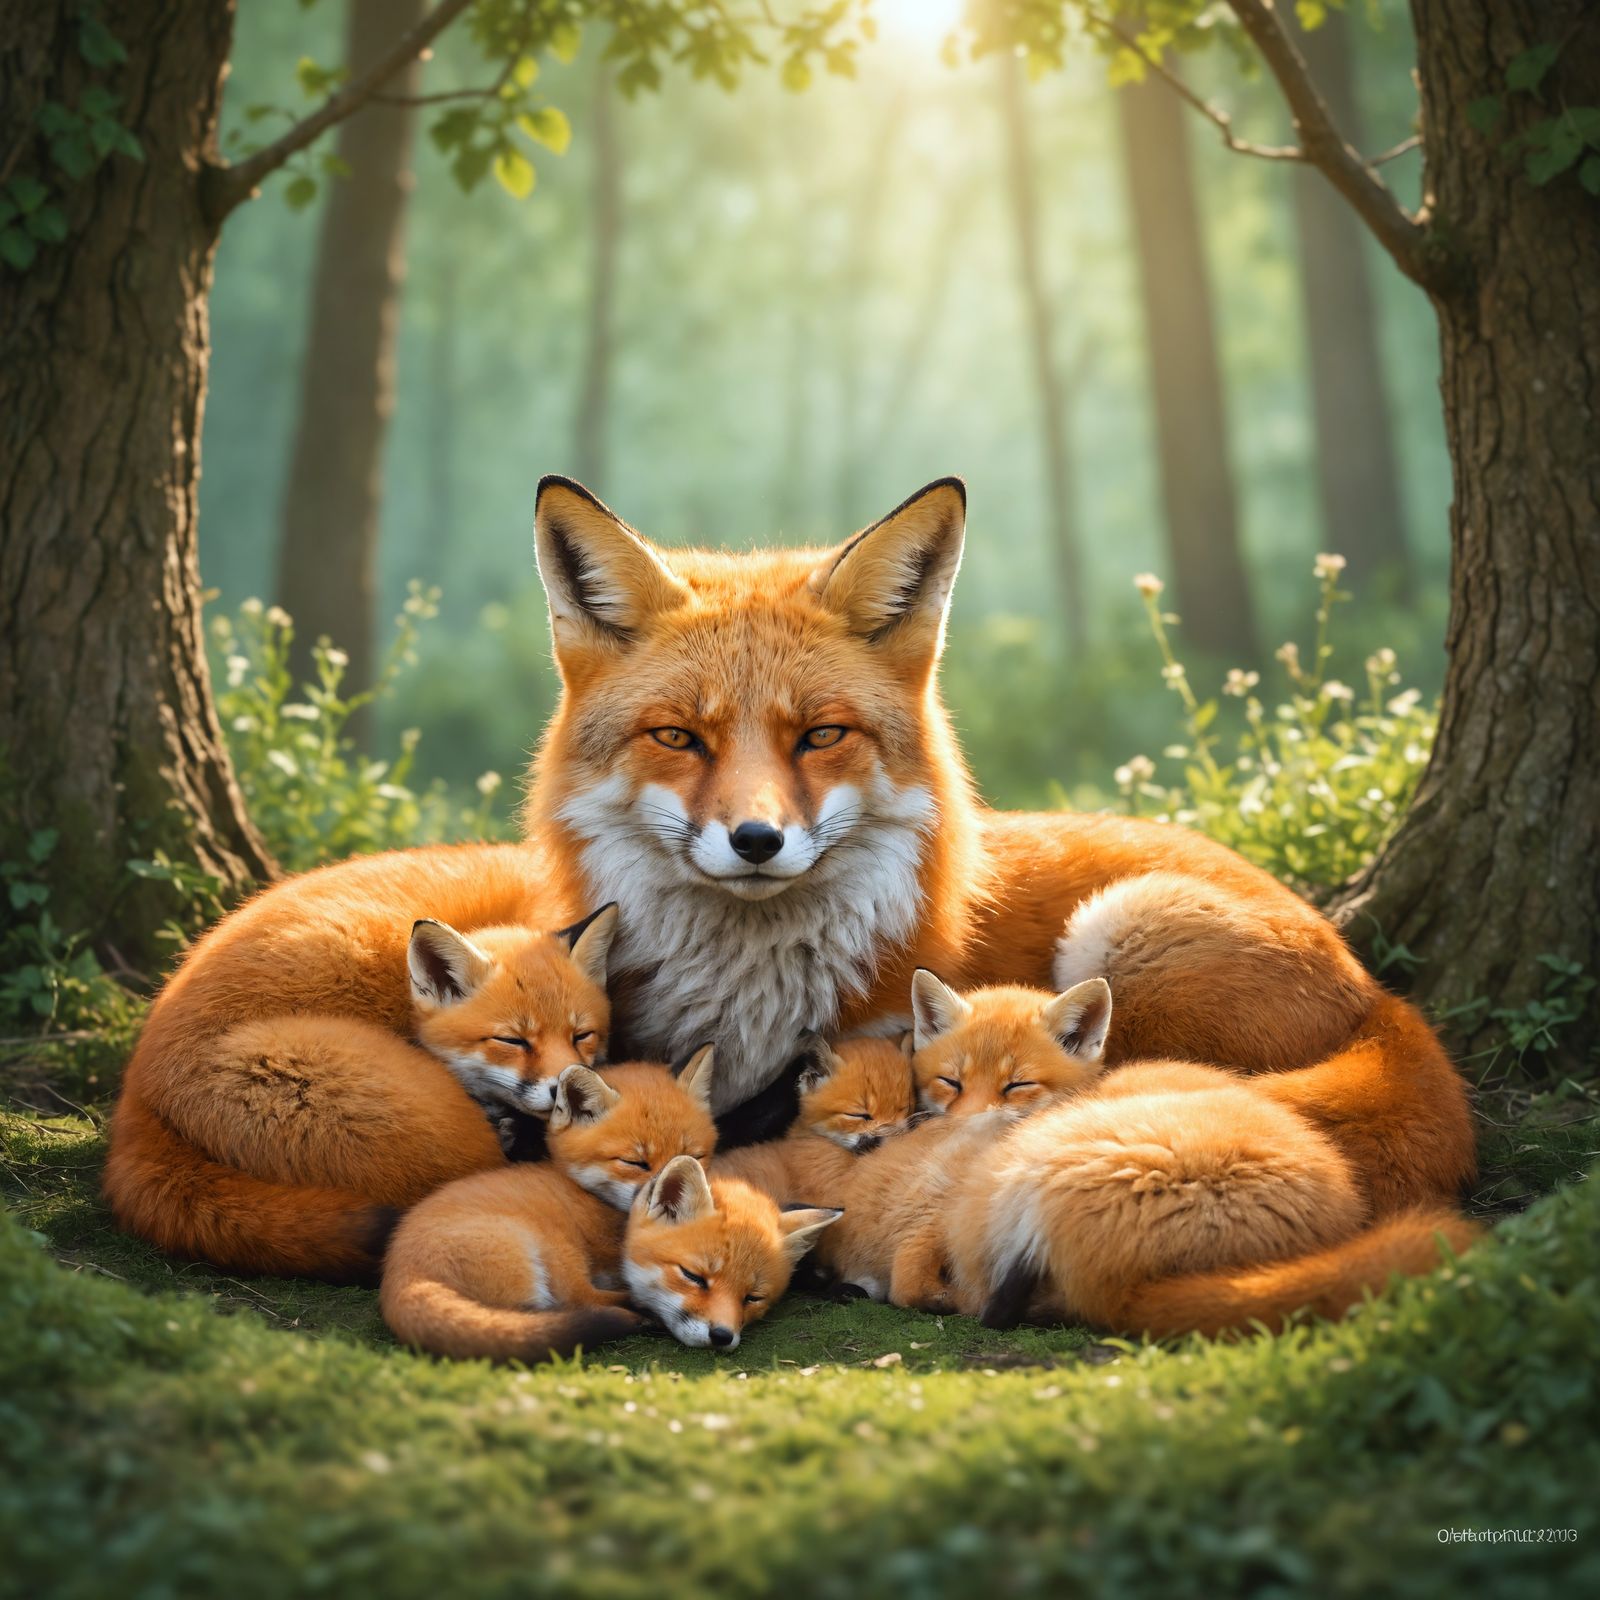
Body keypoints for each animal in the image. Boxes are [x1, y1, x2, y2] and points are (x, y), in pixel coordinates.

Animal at [381, 1051, 716, 1362]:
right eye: (635, 1162)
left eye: (695, 1155)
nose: (674, 1181)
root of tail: (399, 1276)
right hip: (553, 1245)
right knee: (576, 1301)